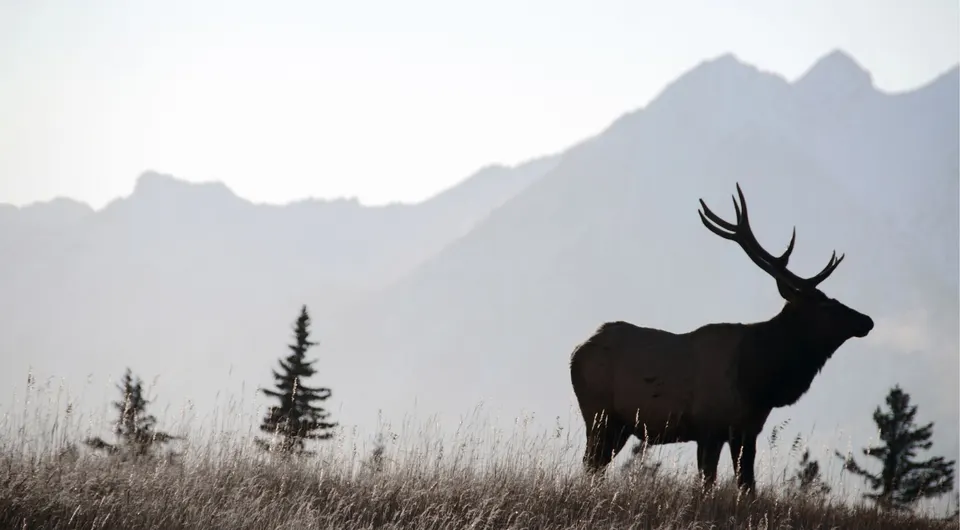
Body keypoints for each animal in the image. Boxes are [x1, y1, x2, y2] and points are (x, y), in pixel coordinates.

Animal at [568, 183, 874, 494]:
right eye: (826, 305)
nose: (867, 321)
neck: (759, 381)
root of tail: (576, 352)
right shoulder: (709, 427)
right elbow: (707, 483)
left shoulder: (747, 430)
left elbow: (747, 485)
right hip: (599, 414)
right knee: (590, 463)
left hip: (619, 426)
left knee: (596, 466)